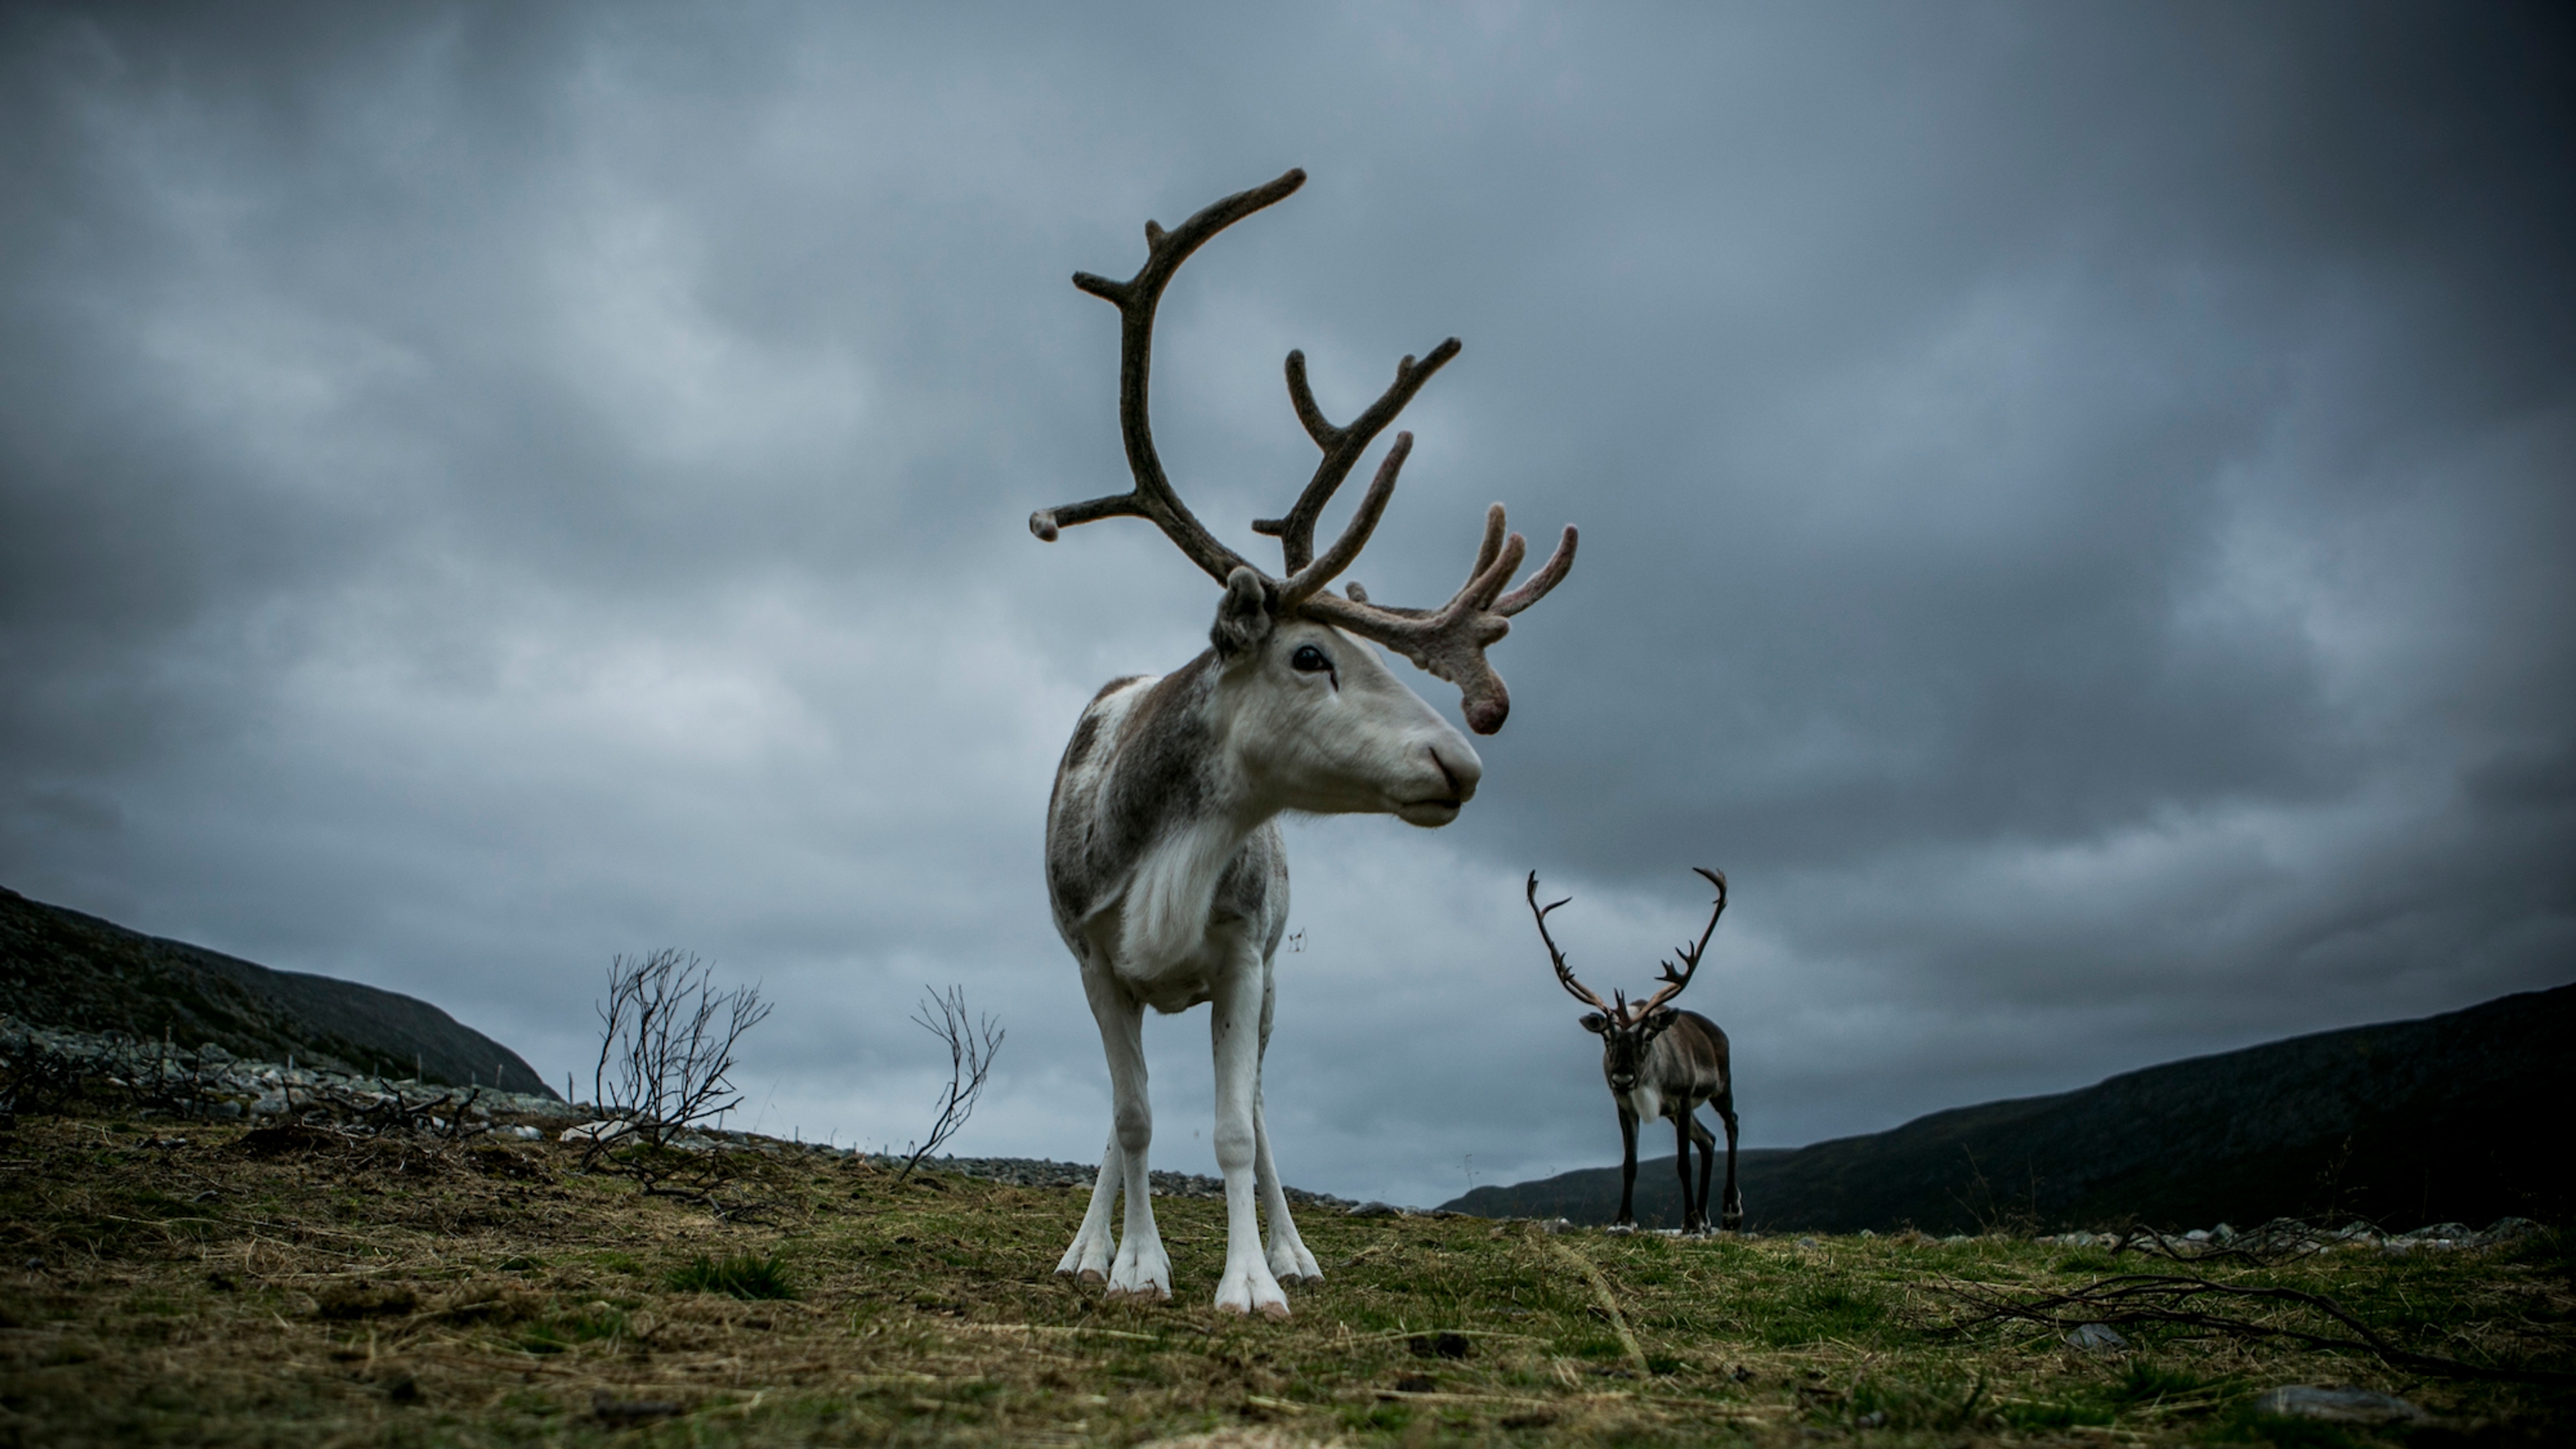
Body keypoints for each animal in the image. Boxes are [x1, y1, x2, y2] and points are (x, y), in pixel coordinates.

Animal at [1029, 169, 1576, 1318]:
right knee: (1124, 1109)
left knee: (1263, 1104)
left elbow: (1237, 1128)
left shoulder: (1243, 954)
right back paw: (1090, 1247)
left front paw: (1250, 1281)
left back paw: (1289, 1248)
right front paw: (1133, 1266)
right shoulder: (1093, 959)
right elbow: (1132, 1118)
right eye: (1310, 654)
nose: (1464, 760)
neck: (1163, 849)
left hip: (1274, 977)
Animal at [1528, 867, 1742, 1234]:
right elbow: (1630, 1163)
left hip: (1720, 1088)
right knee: (1709, 1140)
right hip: (1678, 1113)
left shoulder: (1683, 1098)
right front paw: (1624, 1220)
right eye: (1606, 1038)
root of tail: (1717, 1031)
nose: (1623, 1077)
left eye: (1649, 1036)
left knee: (1732, 1125)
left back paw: (1729, 1211)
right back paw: (1705, 1218)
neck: (1648, 1083)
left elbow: (1683, 1163)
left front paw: (1688, 1223)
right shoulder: (1625, 1106)